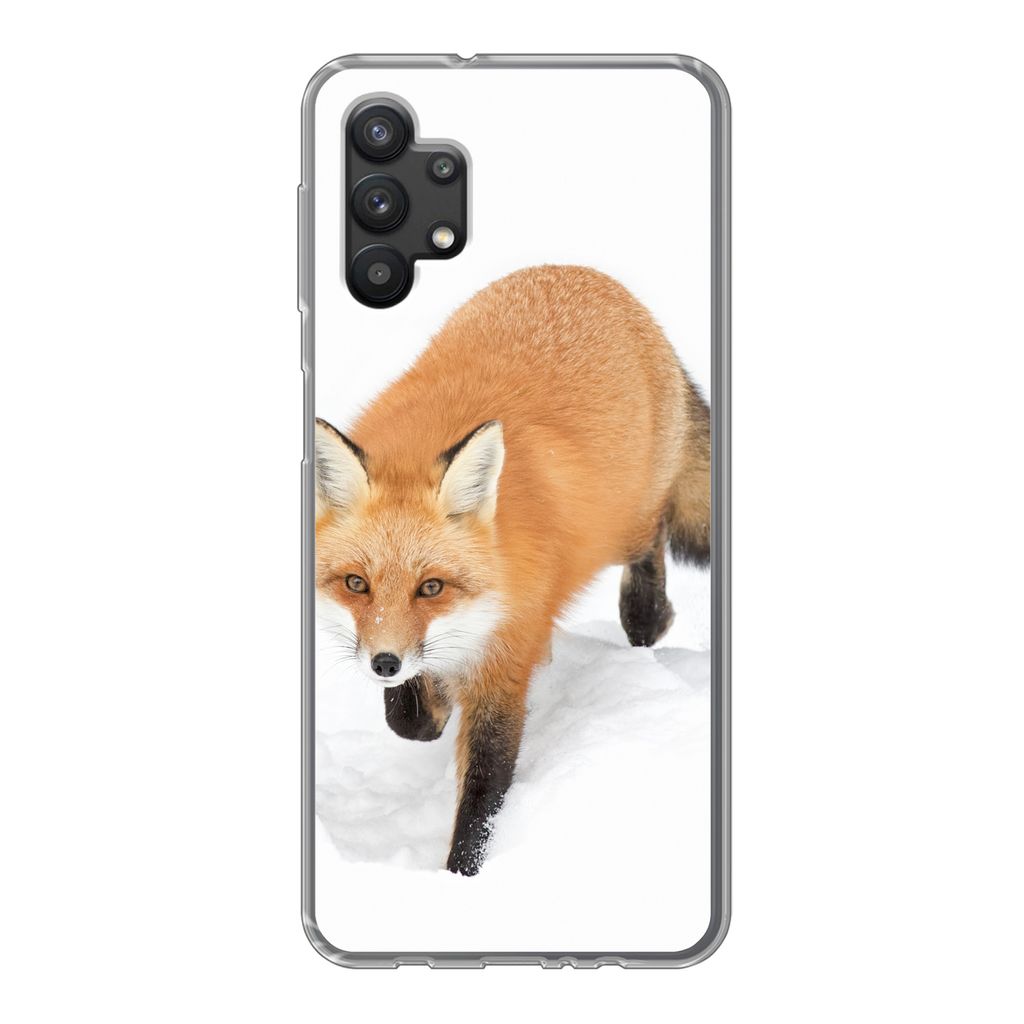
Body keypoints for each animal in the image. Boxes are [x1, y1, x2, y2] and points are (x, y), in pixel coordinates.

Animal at [315, 265, 710, 875]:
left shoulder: (506, 663)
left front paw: (462, 876)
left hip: (625, 520)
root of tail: (583, 273)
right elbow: (411, 721)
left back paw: (650, 615)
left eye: (431, 587)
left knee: (653, 540)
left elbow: (484, 788)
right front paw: (429, 703)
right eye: (357, 584)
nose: (384, 663)